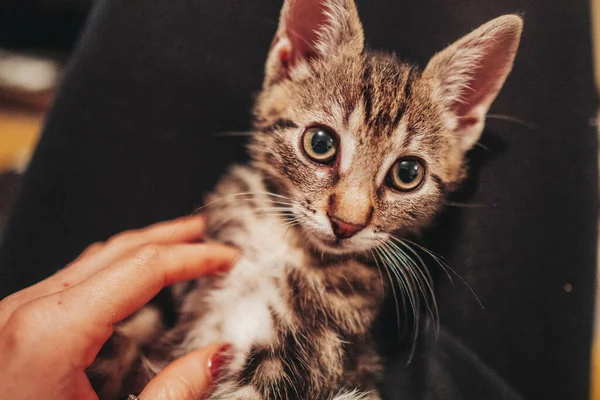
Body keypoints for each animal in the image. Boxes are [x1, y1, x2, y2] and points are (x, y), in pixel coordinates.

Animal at [88, 1, 520, 398]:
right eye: (321, 143)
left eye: (408, 174)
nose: (346, 223)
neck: (282, 243)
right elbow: (134, 325)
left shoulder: (314, 360)